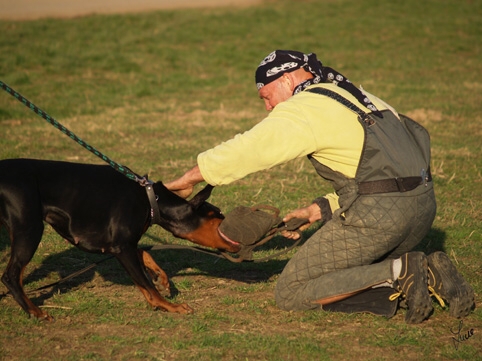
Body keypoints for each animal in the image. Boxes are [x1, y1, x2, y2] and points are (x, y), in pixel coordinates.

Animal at [0, 158, 241, 318]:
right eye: (219, 215)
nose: (236, 231)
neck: (151, 200)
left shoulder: (126, 244)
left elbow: (145, 255)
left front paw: (161, 278)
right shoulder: (122, 248)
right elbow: (146, 284)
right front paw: (169, 306)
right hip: (30, 229)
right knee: (11, 276)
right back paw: (35, 312)